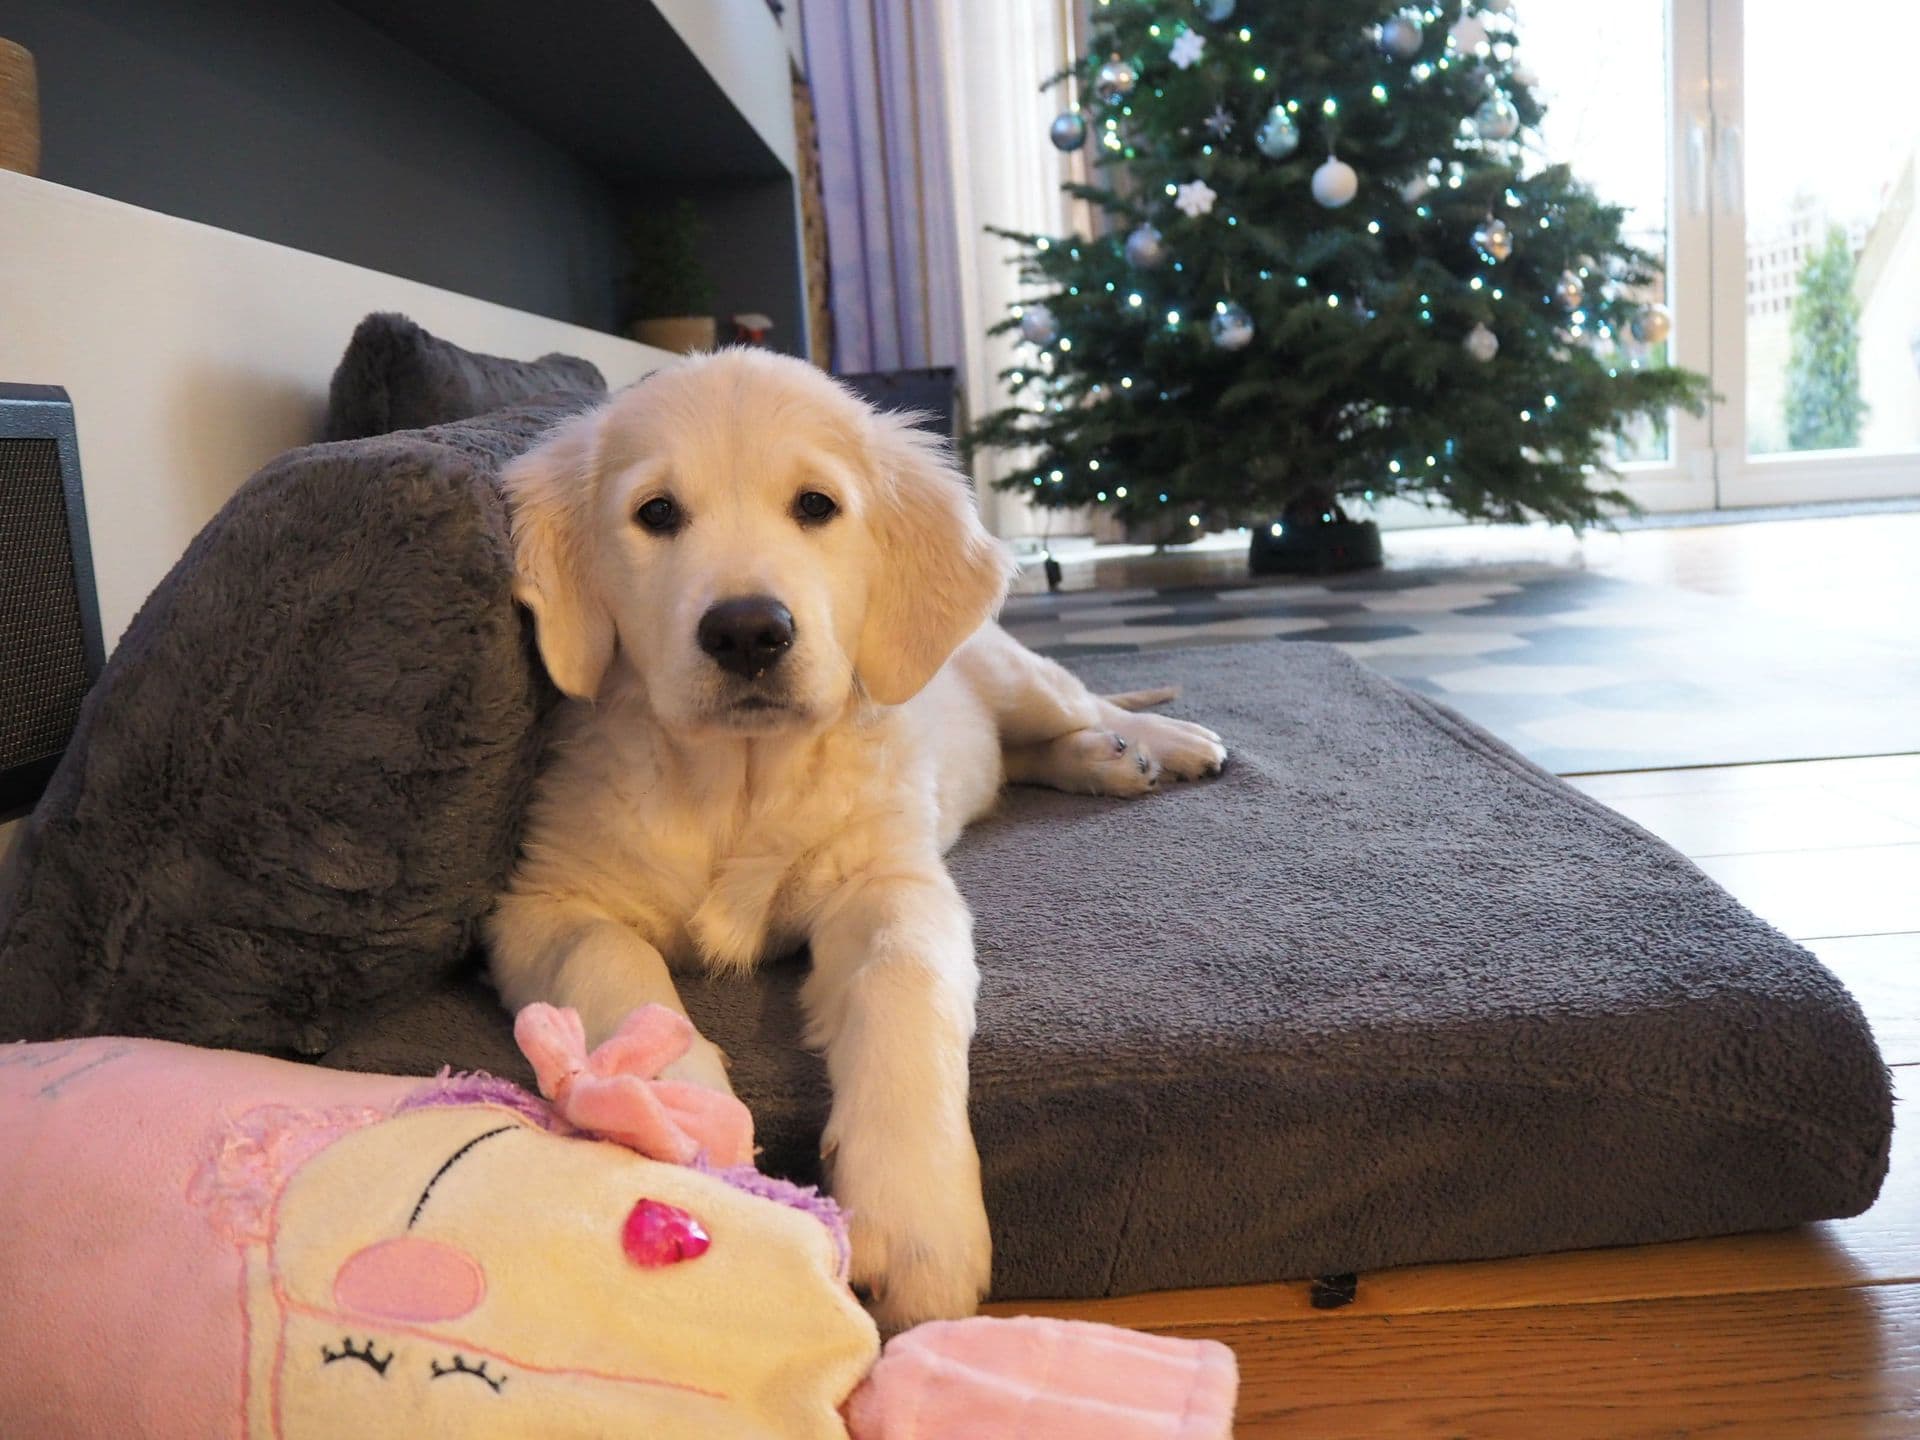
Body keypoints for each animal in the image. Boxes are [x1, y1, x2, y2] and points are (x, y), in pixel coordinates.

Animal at [487, 348, 1226, 1327]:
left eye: (815, 506)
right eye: (656, 514)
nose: (748, 631)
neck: (739, 779)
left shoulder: (887, 882)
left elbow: (902, 981)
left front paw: (917, 1216)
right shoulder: (542, 903)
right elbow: (613, 965)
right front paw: (683, 1119)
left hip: (1015, 673)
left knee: (1080, 703)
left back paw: (1158, 745)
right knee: (1022, 758)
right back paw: (1105, 761)